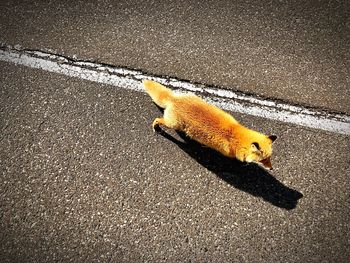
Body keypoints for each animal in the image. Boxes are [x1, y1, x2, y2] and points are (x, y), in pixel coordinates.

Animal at [142, 79, 276, 170]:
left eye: (269, 158)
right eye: (263, 160)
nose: (271, 168)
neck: (234, 134)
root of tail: (175, 99)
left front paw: (204, 145)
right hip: (172, 124)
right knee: (158, 119)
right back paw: (156, 127)